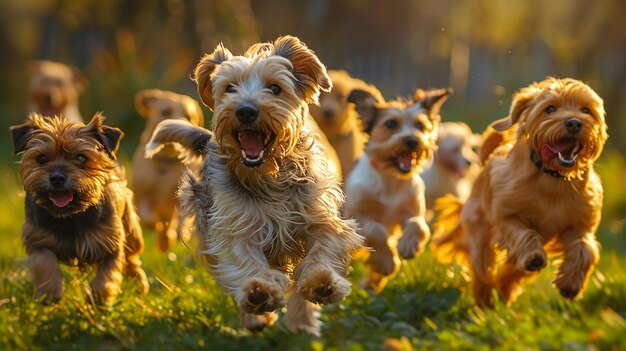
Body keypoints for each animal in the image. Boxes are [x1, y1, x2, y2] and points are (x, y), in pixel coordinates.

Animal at [10, 113, 149, 306]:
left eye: (81, 158)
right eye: (42, 158)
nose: (57, 178)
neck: (70, 216)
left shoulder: (110, 242)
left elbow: (107, 275)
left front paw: (98, 299)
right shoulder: (36, 238)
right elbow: (43, 262)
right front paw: (49, 293)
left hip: (131, 228)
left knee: (132, 257)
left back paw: (139, 282)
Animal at [132, 89, 205, 252]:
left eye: (189, 116)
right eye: (165, 112)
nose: (181, 122)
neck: (166, 162)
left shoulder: (179, 195)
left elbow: (179, 218)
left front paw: (178, 233)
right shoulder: (143, 195)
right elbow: (148, 218)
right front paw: (156, 227)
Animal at [145, 35, 360, 336]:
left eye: (275, 88)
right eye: (230, 88)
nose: (245, 110)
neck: (269, 175)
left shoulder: (318, 216)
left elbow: (322, 247)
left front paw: (321, 282)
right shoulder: (235, 224)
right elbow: (244, 260)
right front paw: (259, 291)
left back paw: (301, 322)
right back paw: (255, 316)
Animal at [344, 88, 450, 294]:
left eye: (420, 125)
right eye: (390, 123)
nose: (412, 140)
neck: (390, 180)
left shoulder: (412, 208)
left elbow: (419, 225)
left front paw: (409, 246)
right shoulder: (356, 216)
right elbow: (376, 229)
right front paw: (387, 262)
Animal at [434, 77, 604, 308]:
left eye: (586, 110)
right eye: (550, 108)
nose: (574, 122)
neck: (553, 180)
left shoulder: (580, 224)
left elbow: (584, 249)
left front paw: (570, 283)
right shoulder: (506, 214)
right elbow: (522, 233)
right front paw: (532, 255)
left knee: (513, 273)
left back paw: (504, 291)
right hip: (479, 235)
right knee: (482, 268)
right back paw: (486, 300)